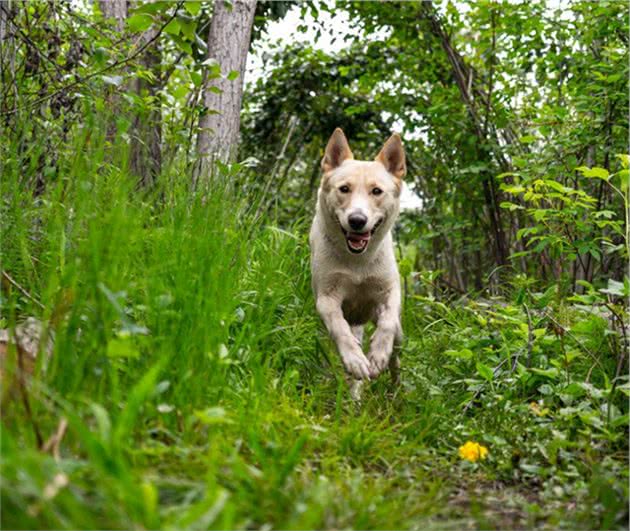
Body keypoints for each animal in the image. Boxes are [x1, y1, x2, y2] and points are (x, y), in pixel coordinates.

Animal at [310, 130, 408, 392]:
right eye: (344, 189)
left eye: (377, 191)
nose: (357, 220)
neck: (358, 262)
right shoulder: (327, 298)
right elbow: (338, 327)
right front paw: (355, 360)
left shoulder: (389, 292)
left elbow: (387, 322)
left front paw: (378, 355)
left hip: (397, 334)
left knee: (396, 355)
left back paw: (395, 388)